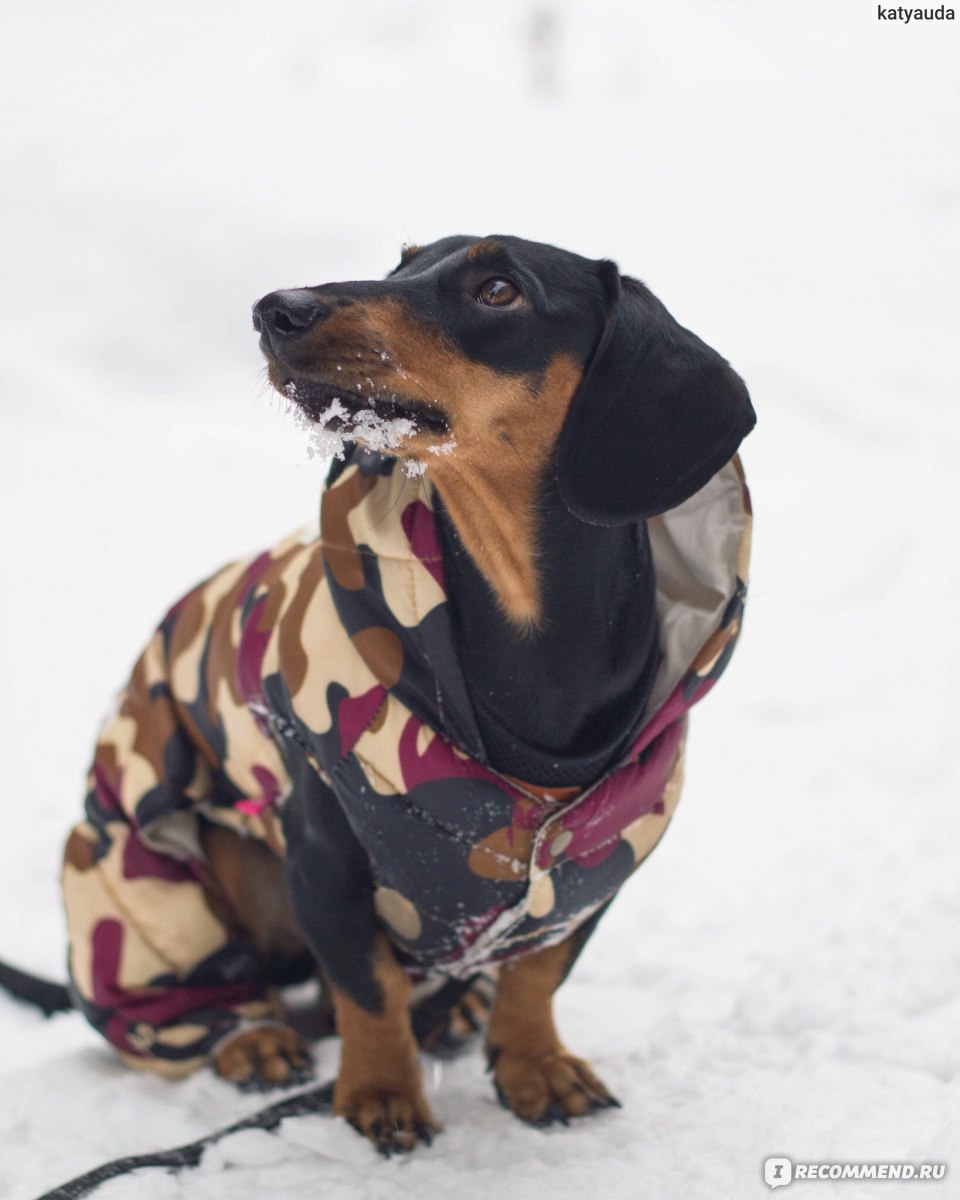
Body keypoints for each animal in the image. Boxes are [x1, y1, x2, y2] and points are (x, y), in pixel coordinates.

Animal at [60, 234, 758, 1152]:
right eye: (401, 264)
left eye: (499, 289)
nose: (275, 309)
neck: (531, 639)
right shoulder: (323, 850)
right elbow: (366, 987)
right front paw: (381, 1090)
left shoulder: (593, 865)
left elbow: (537, 975)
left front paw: (535, 1064)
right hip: (155, 869)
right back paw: (250, 1037)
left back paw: (455, 1011)